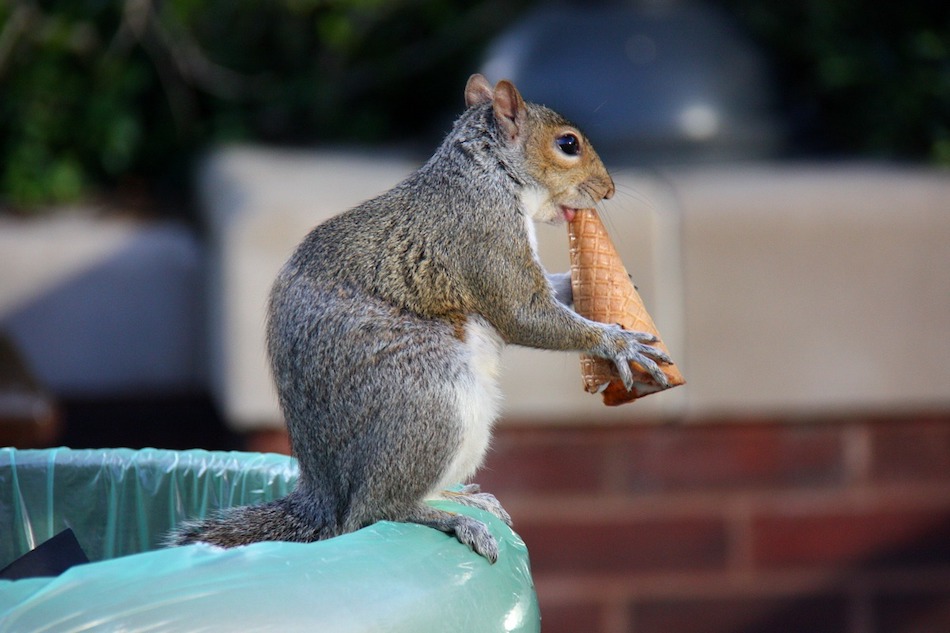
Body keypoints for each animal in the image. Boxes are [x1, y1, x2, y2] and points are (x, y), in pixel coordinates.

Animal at [173, 75, 676, 564]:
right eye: (568, 143)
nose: (608, 189)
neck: (486, 173)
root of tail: (324, 491)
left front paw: (585, 282)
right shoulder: (483, 234)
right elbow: (523, 313)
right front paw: (618, 342)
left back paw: (460, 498)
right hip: (431, 396)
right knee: (372, 511)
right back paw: (452, 520)